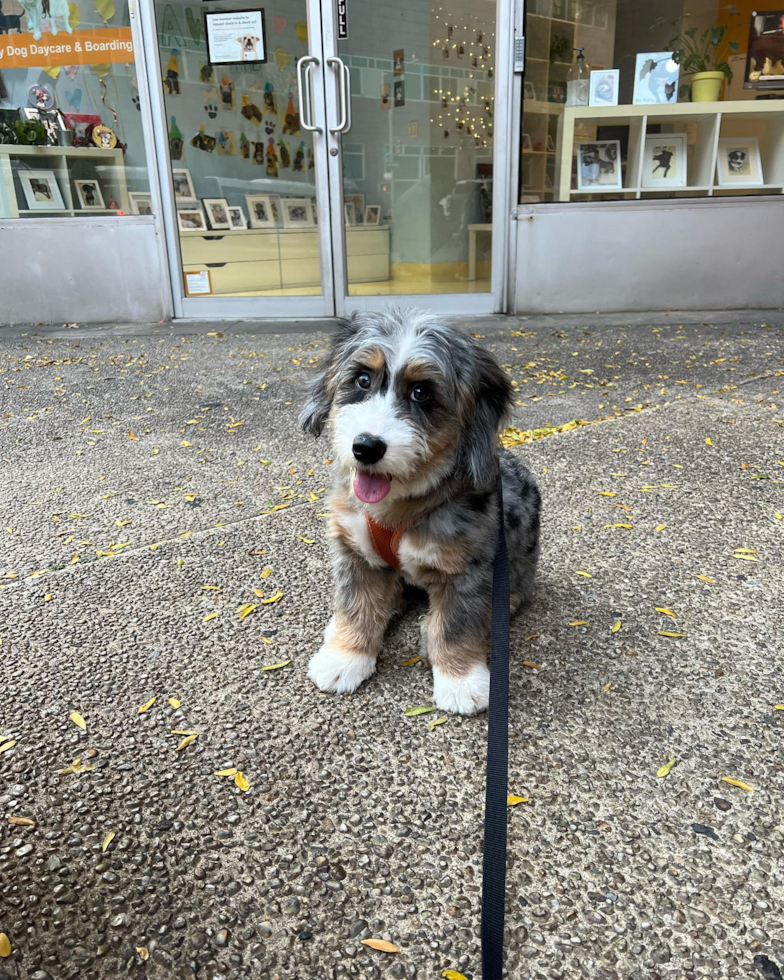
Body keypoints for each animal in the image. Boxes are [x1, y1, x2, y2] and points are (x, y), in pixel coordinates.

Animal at [298, 310, 540, 716]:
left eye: (421, 392)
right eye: (362, 379)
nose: (365, 447)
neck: (399, 505)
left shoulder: (467, 570)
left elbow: (456, 626)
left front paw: (460, 680)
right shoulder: (354, 552)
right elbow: (356, 606)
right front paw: (346, 657)